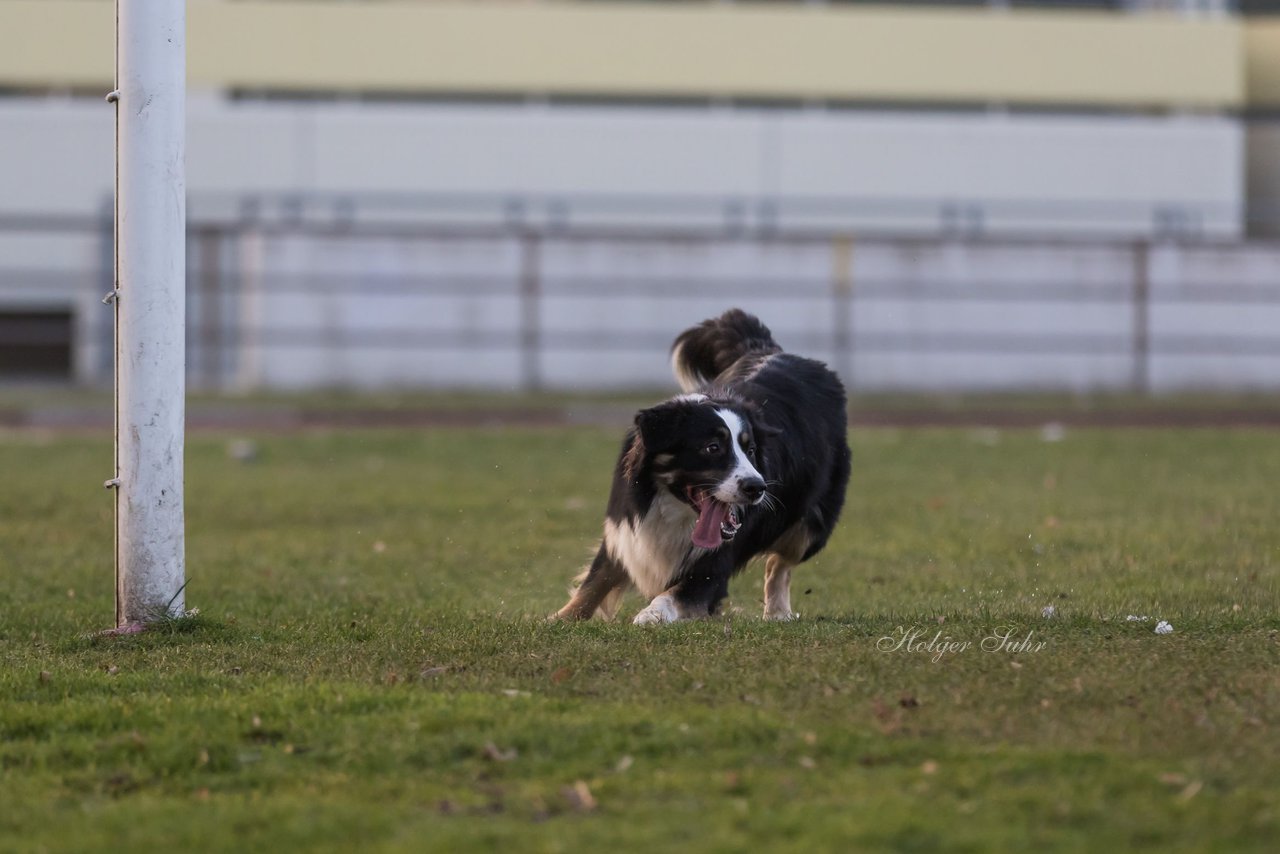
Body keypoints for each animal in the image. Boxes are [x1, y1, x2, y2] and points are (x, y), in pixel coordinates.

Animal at [558, 311, 849, 624]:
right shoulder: (625, 535)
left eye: (751, 450)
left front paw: (649, 616)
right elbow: (594, 582)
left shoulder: (711, 570)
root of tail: (771, 350)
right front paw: (558, 619)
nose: (757, 488)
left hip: (812, 525)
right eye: (712, 448)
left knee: (780, 564)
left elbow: (672, 595)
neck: (674, 511)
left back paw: (777, 612)